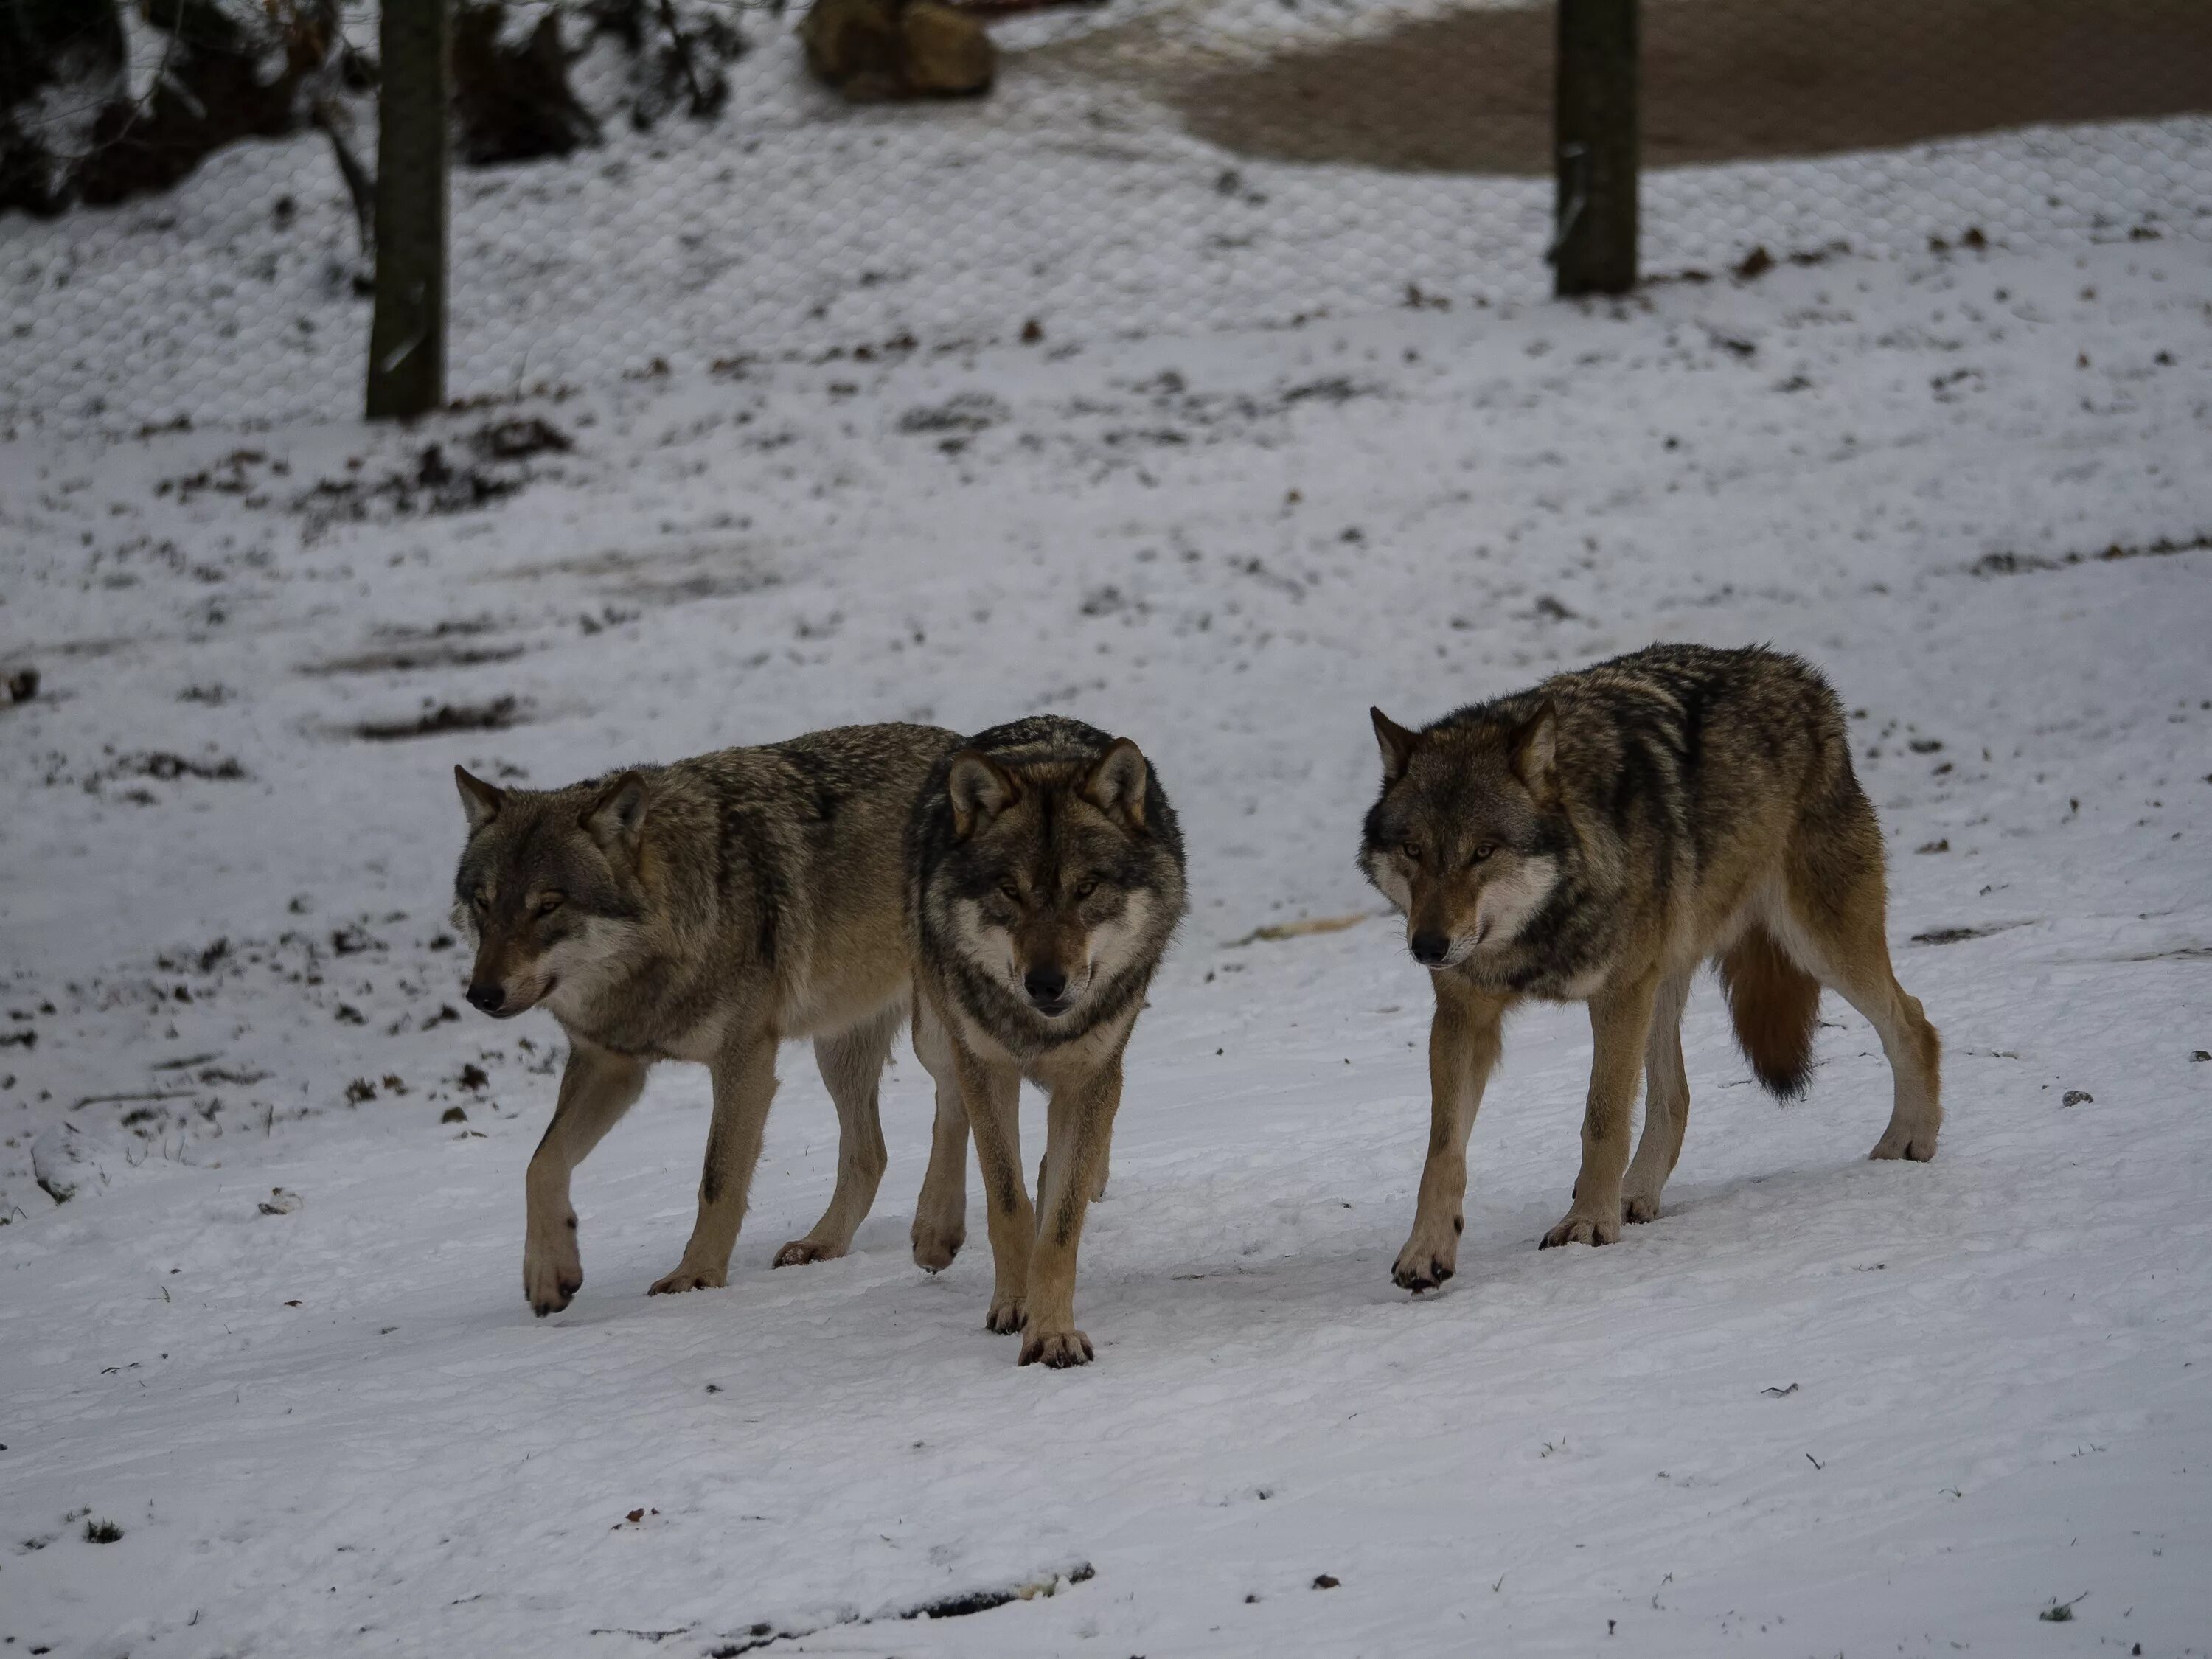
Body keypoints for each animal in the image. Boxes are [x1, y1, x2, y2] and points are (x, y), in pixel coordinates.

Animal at [451, 721, 960, 1318]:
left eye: (549, 905)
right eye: (483, 902)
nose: (482, 995)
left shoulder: (746, 1059)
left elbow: (717, 1179)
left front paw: (695, 1277)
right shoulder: (611, 1065)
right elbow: (541, 1164)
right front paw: (550, 1274)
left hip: (930, 1035)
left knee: (952, 1109)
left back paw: (937, 1233)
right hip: (838, 1052)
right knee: (871, 1155)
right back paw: (823, 1243)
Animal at [907, 721, 1194, 1371]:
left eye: (1086, 888)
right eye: (1010, 891)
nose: (1045, 984)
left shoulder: (1090, 1075)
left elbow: (1060, 1226)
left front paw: (1053, 1332)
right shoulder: (989, 1068)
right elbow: (1009, 1205)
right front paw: (1014, 1307)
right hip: (936, 1033)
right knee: (947, 1102)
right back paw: (934, 1232)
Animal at [1354, 641, 1947, 1292]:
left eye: (1483, 852)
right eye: (1414, 850)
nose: (1428, 947)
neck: (1542, 925)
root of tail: (1798, 675)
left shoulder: (1617, 994)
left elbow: (1603, 1119)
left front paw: (1587, 1224)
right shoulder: (1463, 1016)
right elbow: (1443, 1151)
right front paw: (1426, 1251)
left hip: (1814, 943)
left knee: (1914, 1019)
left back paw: (1908, 1139)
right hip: (1669, 983)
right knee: (1678, 1096)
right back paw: (1635, 1195)